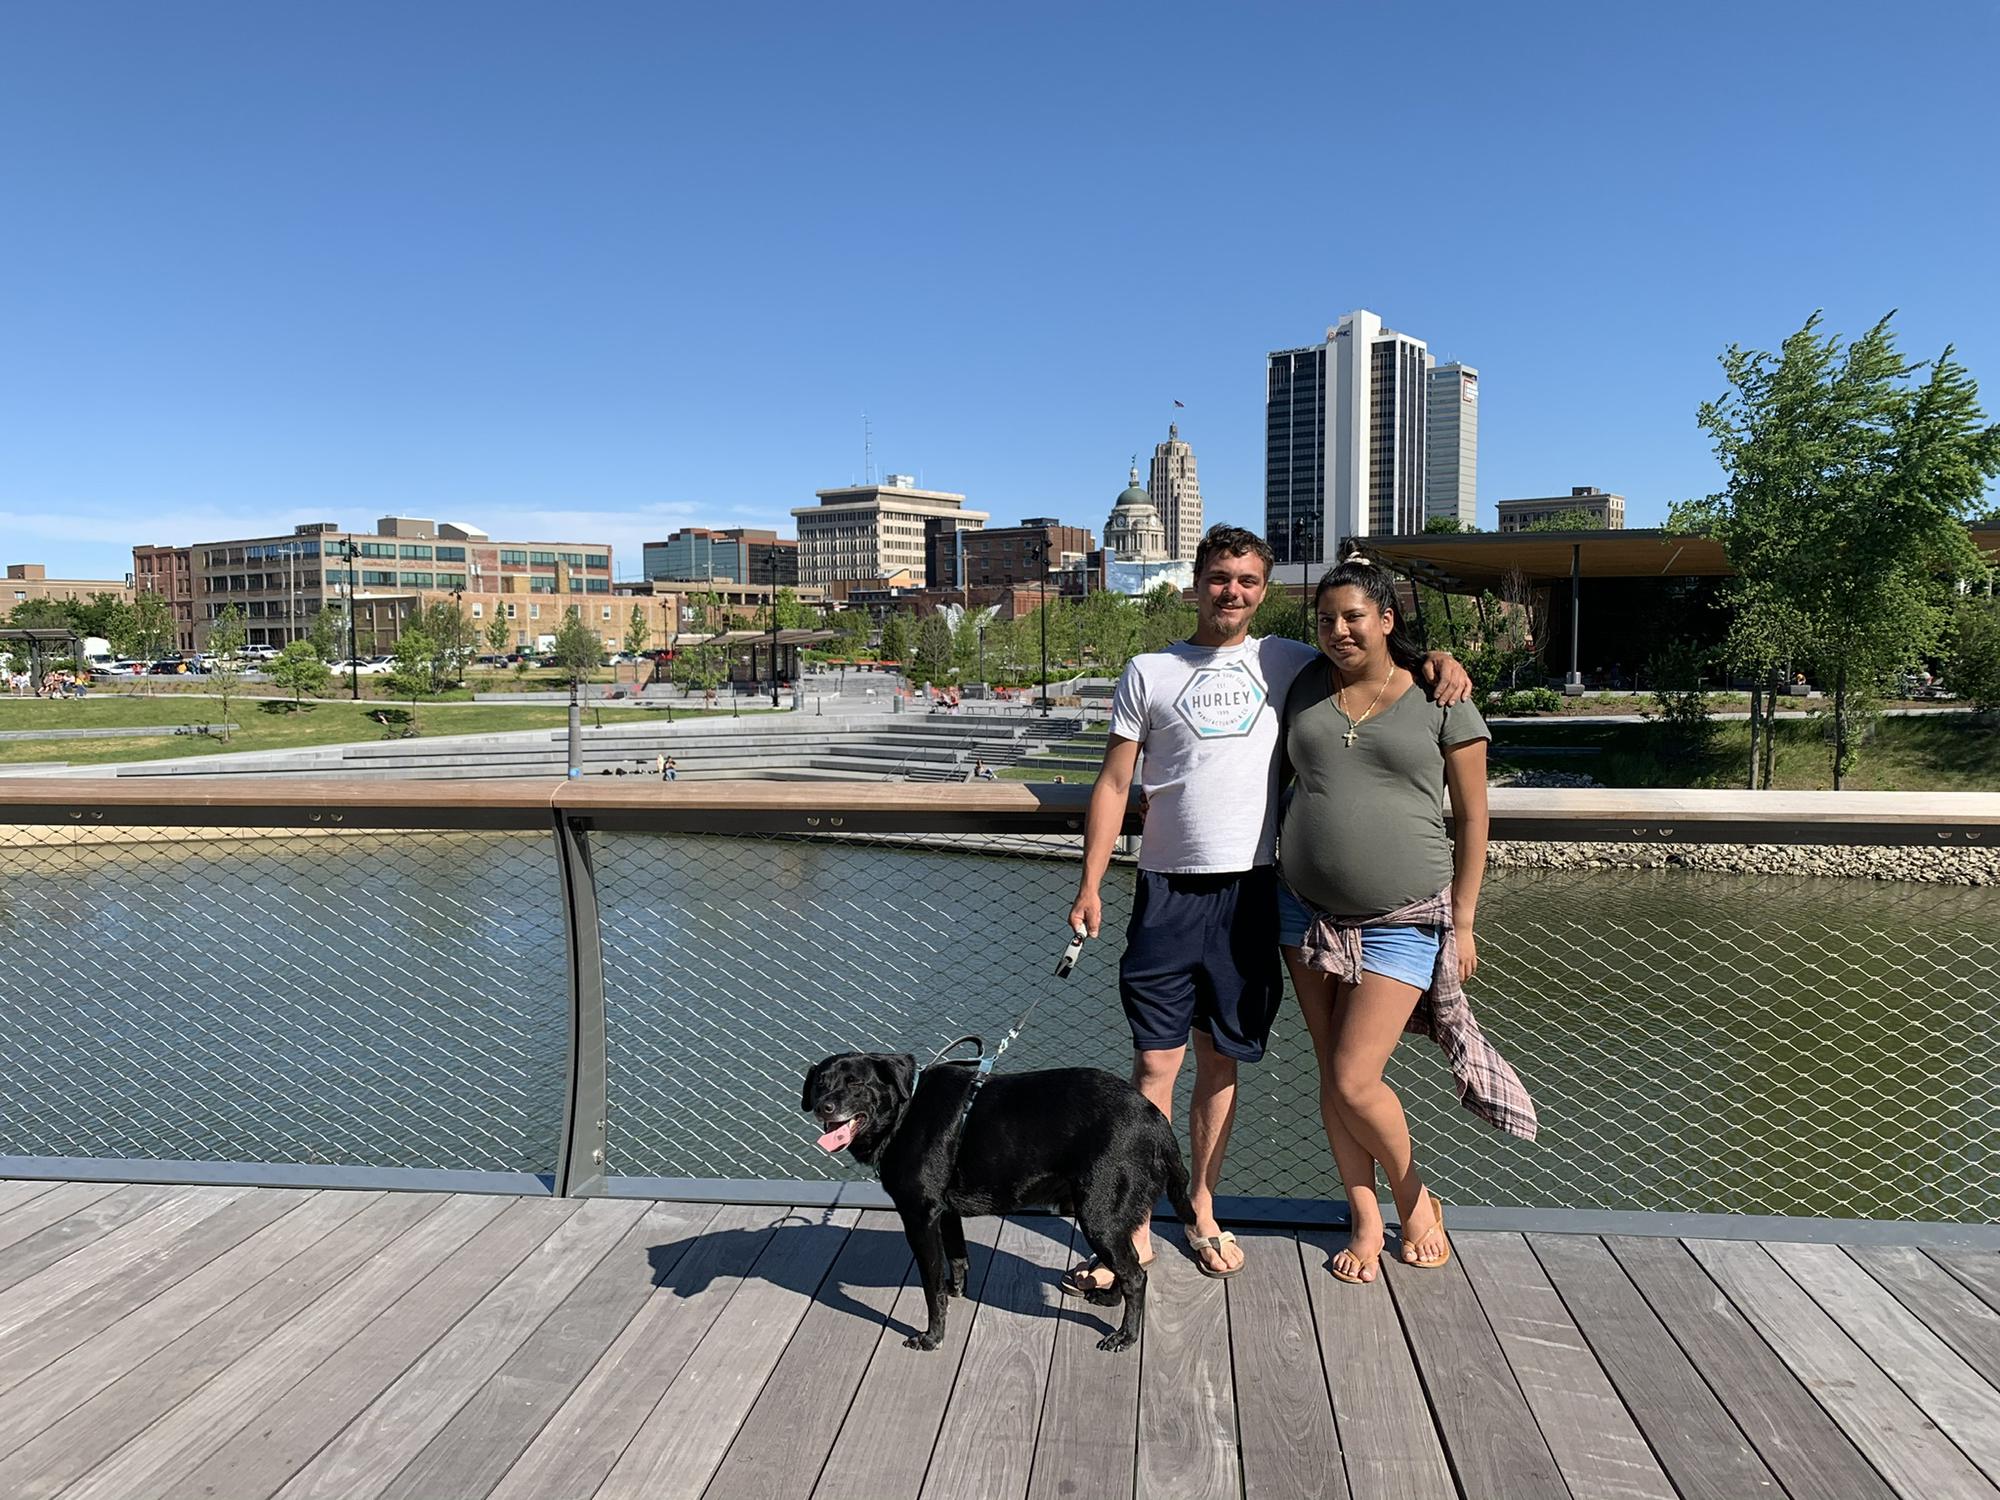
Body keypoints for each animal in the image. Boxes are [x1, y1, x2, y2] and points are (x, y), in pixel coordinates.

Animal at [804, 1048, 1192, 1360]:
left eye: (856, 1083)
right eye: (820, 1083)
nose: (825, 1107)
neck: (904, 1111)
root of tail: (1157, 1120)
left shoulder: (920, 1218)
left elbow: (931, 1287)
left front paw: (932, 1337)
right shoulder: (946, 1214)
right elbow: (958, 1260)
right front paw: (956, 1292)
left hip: (1099, 1216)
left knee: (1136, 1275)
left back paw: (1126, 1336)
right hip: (1113, 1217)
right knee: (1131, 1264)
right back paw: (1110, 1299)